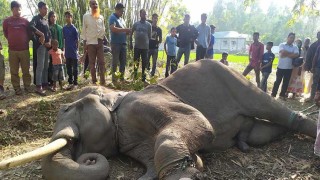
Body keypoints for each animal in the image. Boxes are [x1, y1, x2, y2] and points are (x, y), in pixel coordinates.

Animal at [6, 60, 316, 179]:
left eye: (68, 108)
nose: (88, 157)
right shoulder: (129, 141)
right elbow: (149, 157)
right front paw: (192, 164)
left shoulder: (141, 105)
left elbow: (199, 122)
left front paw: (187, 172)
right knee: (263, 131)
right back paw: (244, 143)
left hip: (235, 80)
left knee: (272, 109)